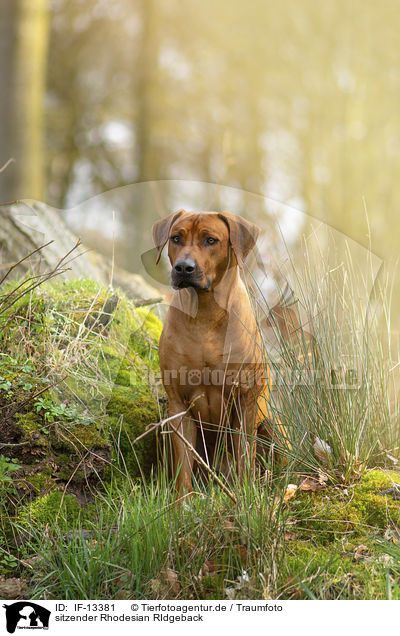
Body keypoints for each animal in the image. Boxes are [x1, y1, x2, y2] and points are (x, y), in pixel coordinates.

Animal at [153, 210, 276, 496]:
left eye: (211, 240)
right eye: (176, 238)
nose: (183, 268)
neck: (205, 314)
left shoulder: (246, 399)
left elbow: (245, 455)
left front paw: (245, 496)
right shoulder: (178, 404)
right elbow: (183, 467)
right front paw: (182, 502)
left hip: (272, 425)